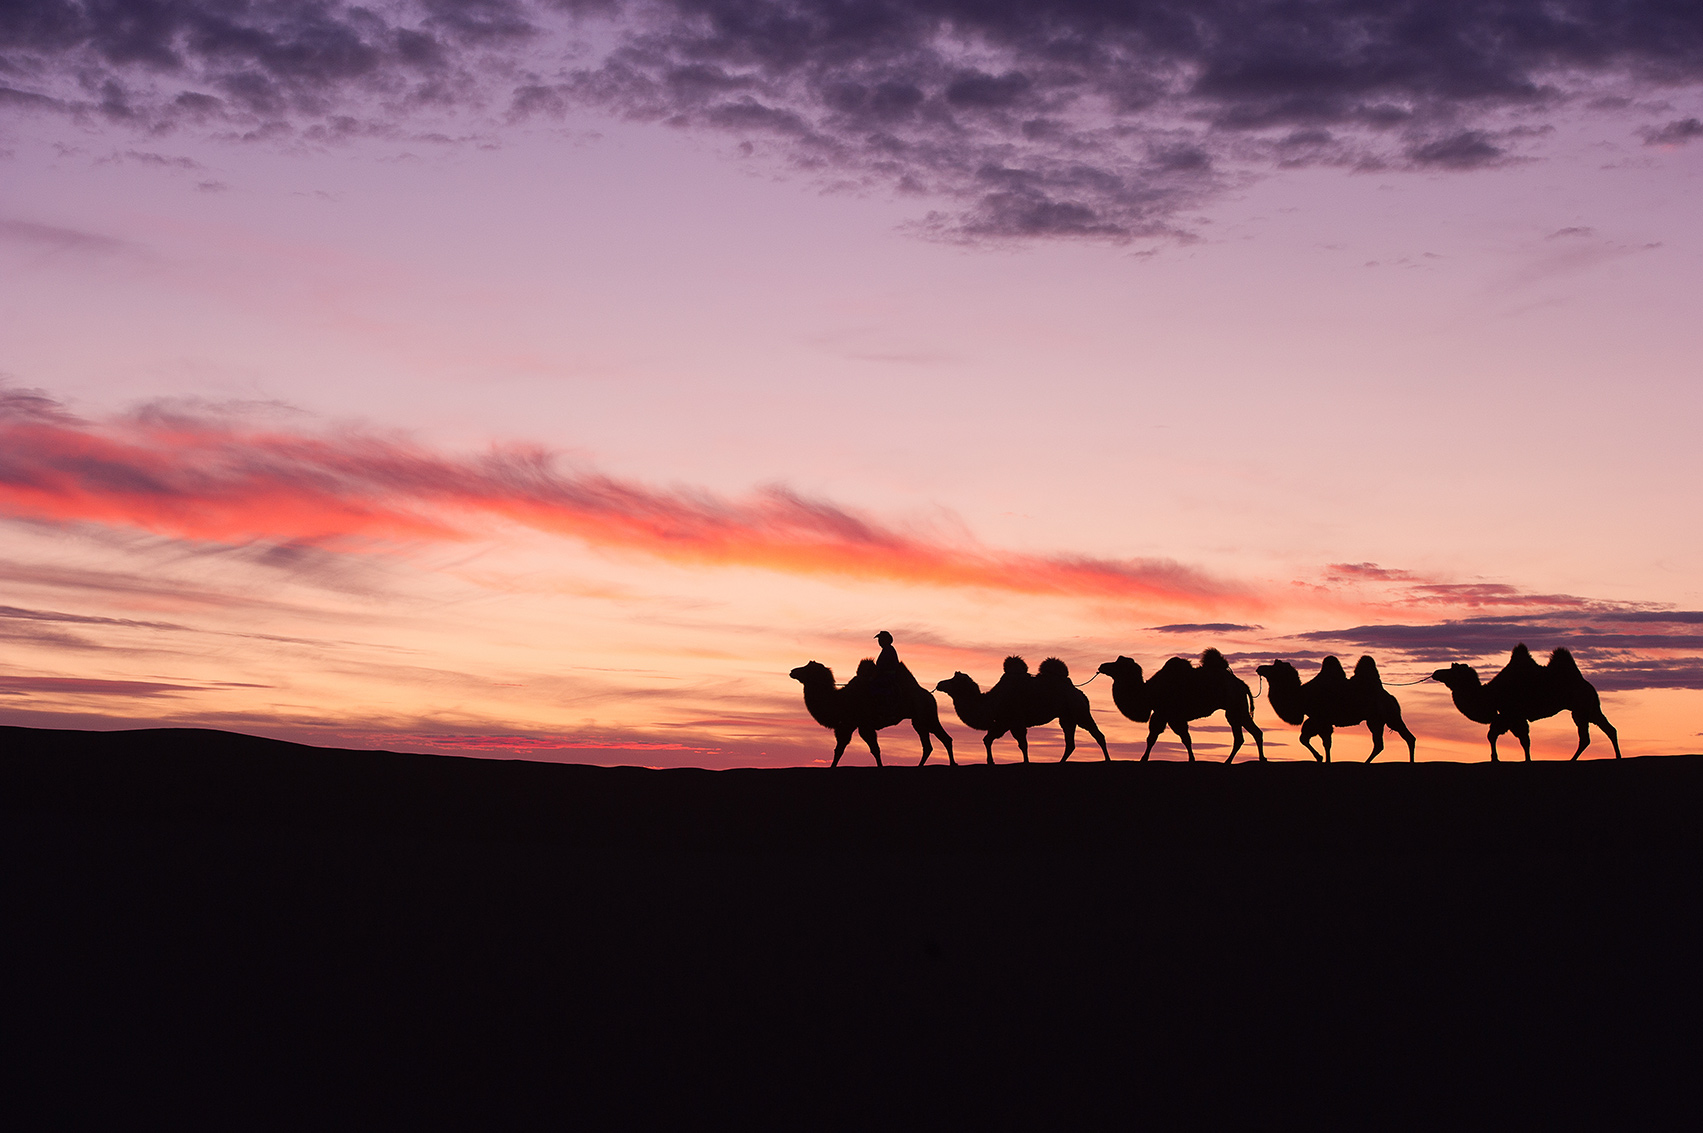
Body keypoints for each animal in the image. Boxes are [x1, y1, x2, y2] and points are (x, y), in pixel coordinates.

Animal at [786, 657, 953, 763]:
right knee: (929, 745)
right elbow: (839, 750)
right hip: (918, 721)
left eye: (808, 668)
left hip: (927, 715)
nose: (792, 671)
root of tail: (929, 695)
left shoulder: (861, 725)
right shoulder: (849, 725)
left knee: (945, 739)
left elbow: (874, 750)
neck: (840, 700)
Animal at [933, 657, 1117, 763]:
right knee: (1070, 743)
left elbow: (1023, 744)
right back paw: (1060, 762)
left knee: (1098, 734)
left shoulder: (1016, 721)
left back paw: (1108, 760)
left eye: (953, 681)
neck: (992, 702)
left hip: (1079, 710)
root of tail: (1078, 691)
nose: (939, 683)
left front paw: (1026, 762)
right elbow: (987, 739)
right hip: (1067, 717)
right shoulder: (1003, 723)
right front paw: (990, 762)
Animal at [1096, 644, 1260, 759]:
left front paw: (1143, 759)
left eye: (1118, 664)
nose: (1102, 666)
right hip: (1237, 709)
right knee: (1248, 735)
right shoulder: (1170, 716)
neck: (1148, 693)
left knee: (1245, 735)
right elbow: (1184, 739)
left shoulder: (1165, 714)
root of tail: (1242, 684)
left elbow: (1154, 738)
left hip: (1235, 706)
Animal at [1260, 654, 1416, 759]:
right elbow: (1305, 738)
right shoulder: (1315, 719)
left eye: (1274, 667)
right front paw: (1320, 758)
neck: (1302, 697)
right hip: (1386, 718)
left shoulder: (1321, 719)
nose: (1260, 668)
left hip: (1381, 717)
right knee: (1402, 739)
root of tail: (1391, 697)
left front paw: (1324, 759)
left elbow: (1325, 743)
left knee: (1386, 742)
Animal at [1423, 644, 1621, 759]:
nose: (1436, 673)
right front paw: (1495, 759)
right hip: (1591, 707)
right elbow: (1493, 736)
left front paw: (1524, 760)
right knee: (1609, 729)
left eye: (1452, 671)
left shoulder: (1513, 715)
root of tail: (1587, 684)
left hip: (1580, 707)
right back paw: (1618, 757)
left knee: (1586, 737)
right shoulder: (1505, 716)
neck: (1490, 695)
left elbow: (1523, 740)